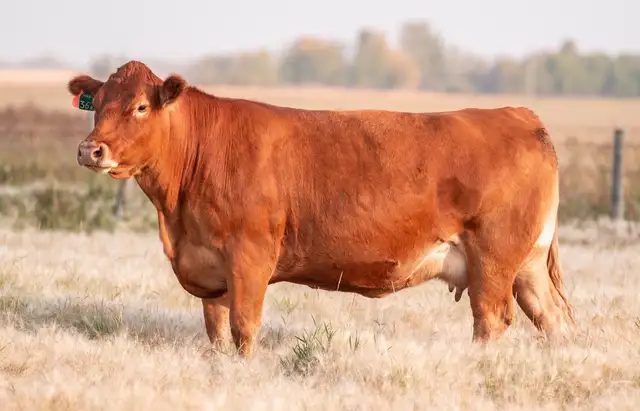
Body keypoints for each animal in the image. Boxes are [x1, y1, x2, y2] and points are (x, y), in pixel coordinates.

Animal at [68, 60, 574, 358]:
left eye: (139, 107)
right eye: (97, 105)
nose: (90, 150)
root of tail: (518, 114)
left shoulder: (250, 255)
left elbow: (244, 326)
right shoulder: (210, 265)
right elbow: (216, 330)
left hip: (493, 259)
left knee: (491, 320)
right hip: (525, 264)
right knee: (553, 319)